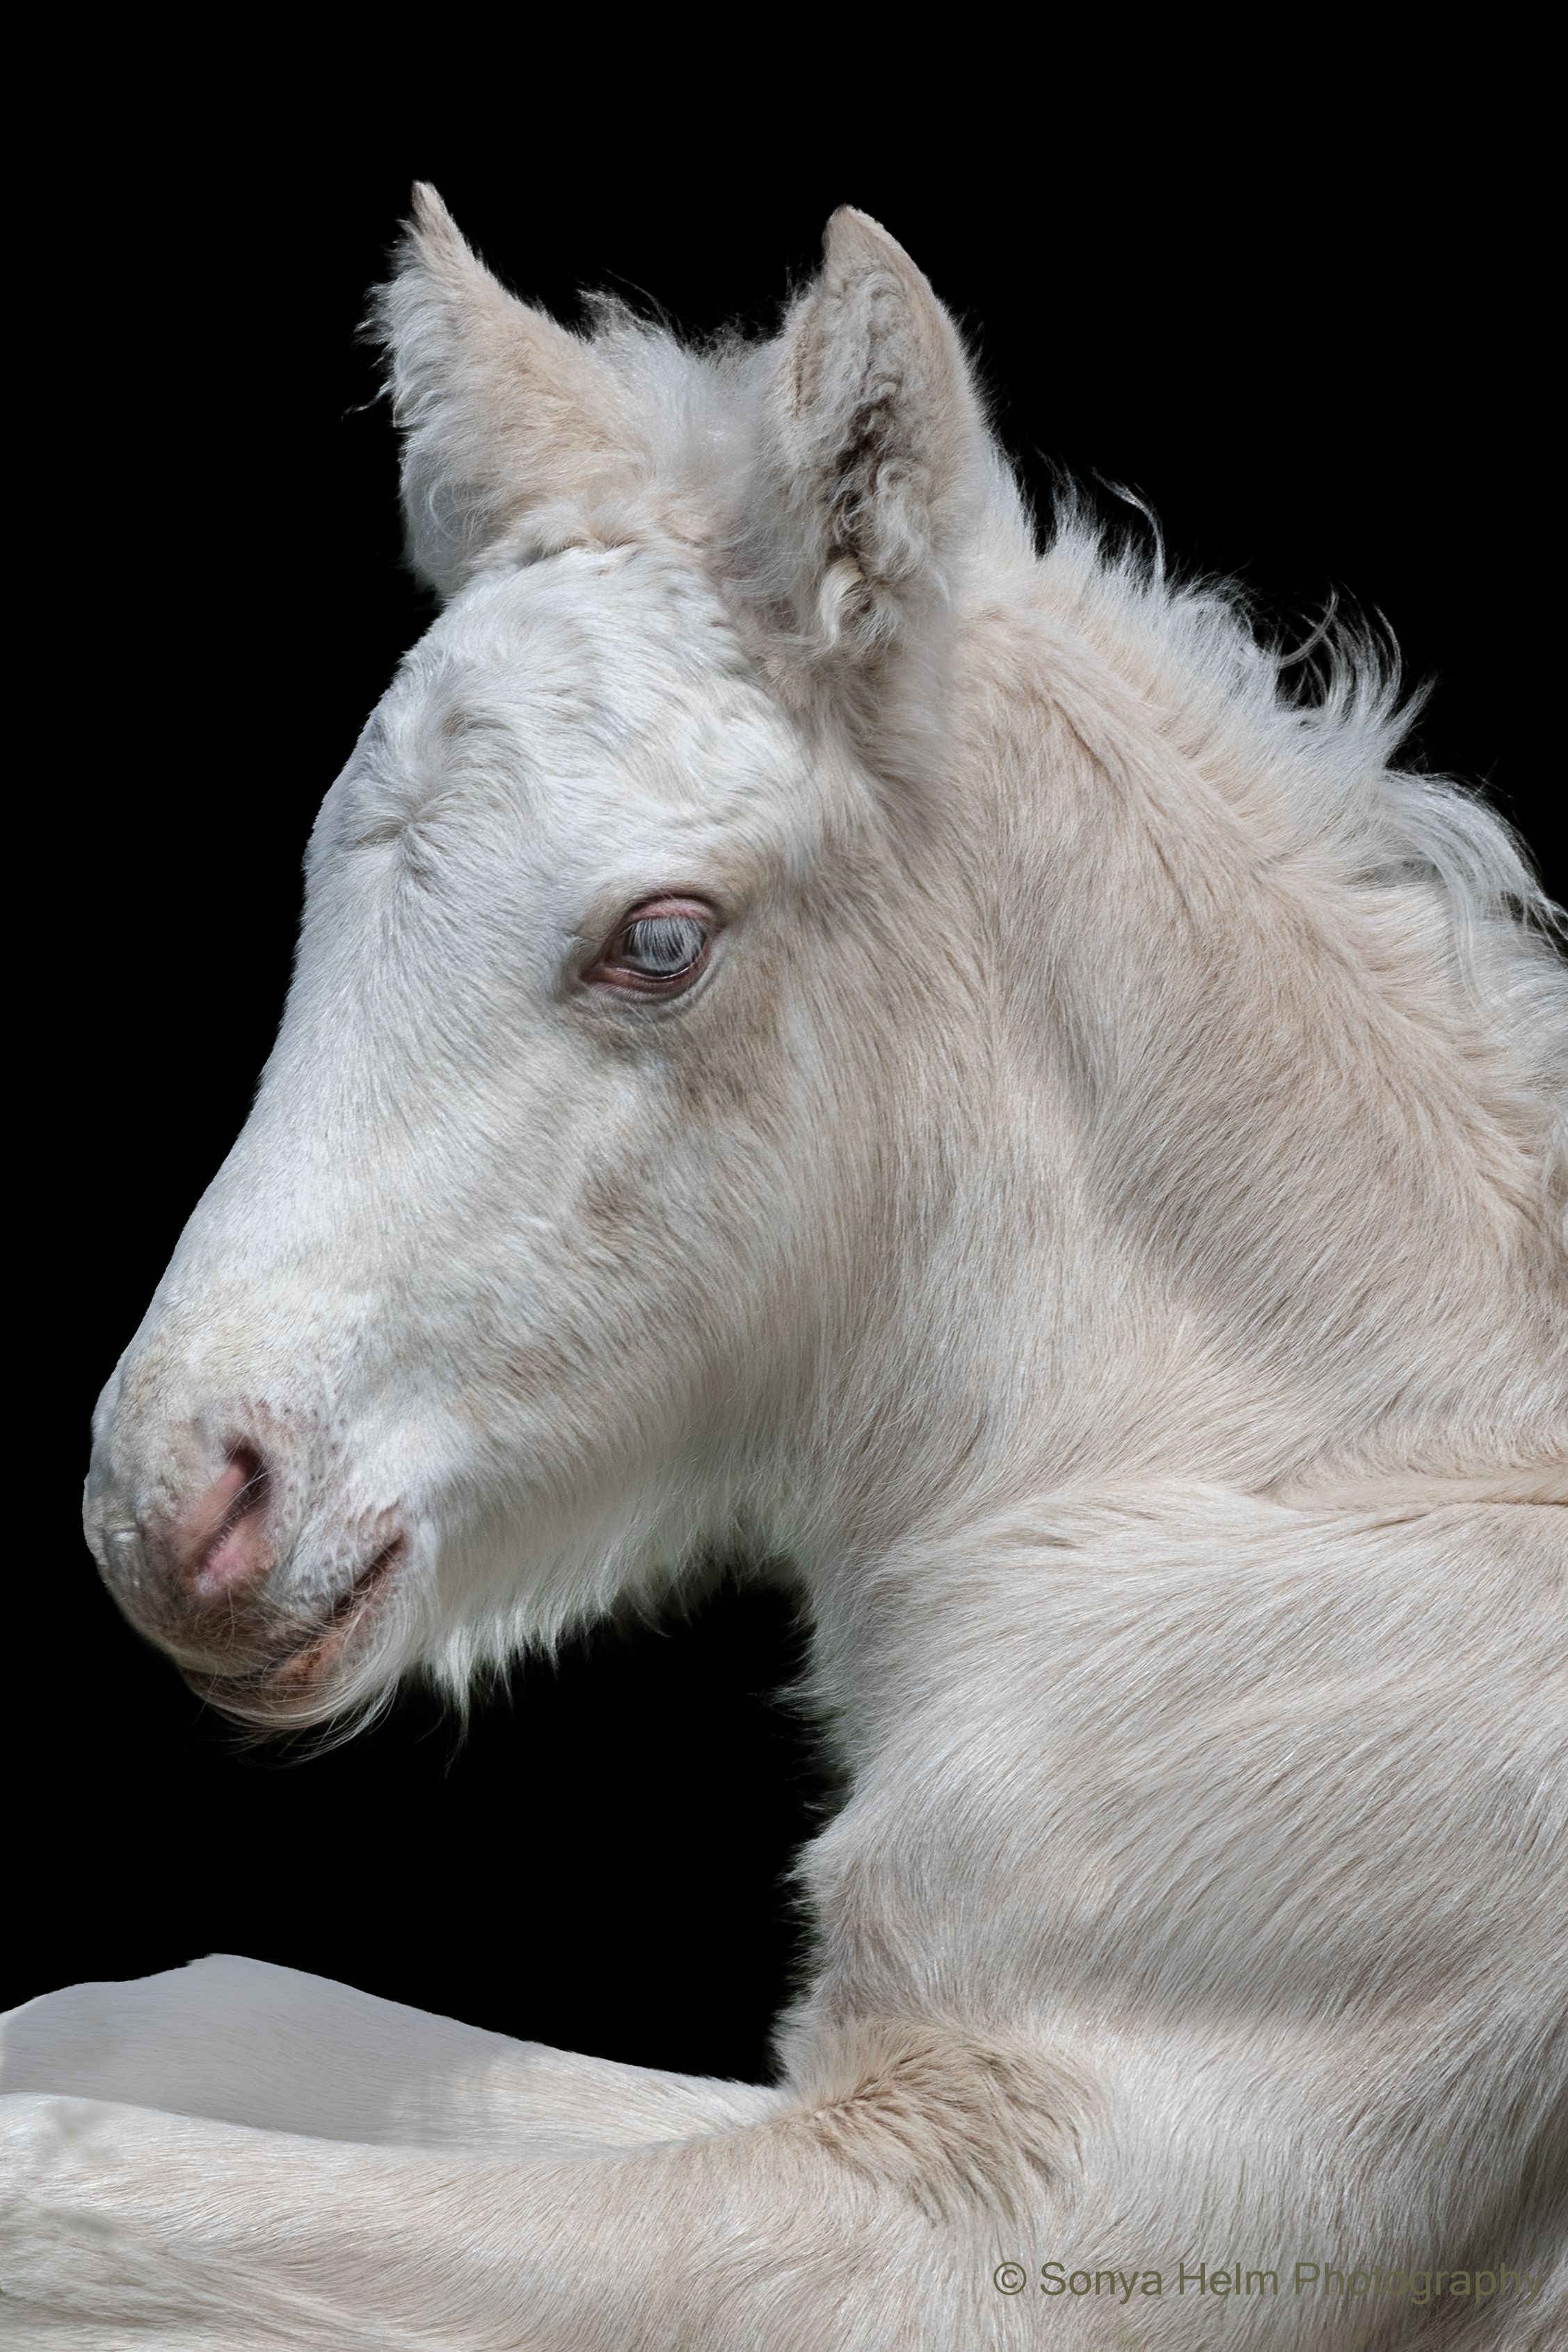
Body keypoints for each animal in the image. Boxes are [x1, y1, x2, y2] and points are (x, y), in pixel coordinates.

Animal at [3, 188, 1564, 2349]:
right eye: (323, 874)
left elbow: (71, 2183)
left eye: (658, 941)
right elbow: (166, 2012)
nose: (179, 1503)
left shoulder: (1053, 2219)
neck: (1296, 1488)